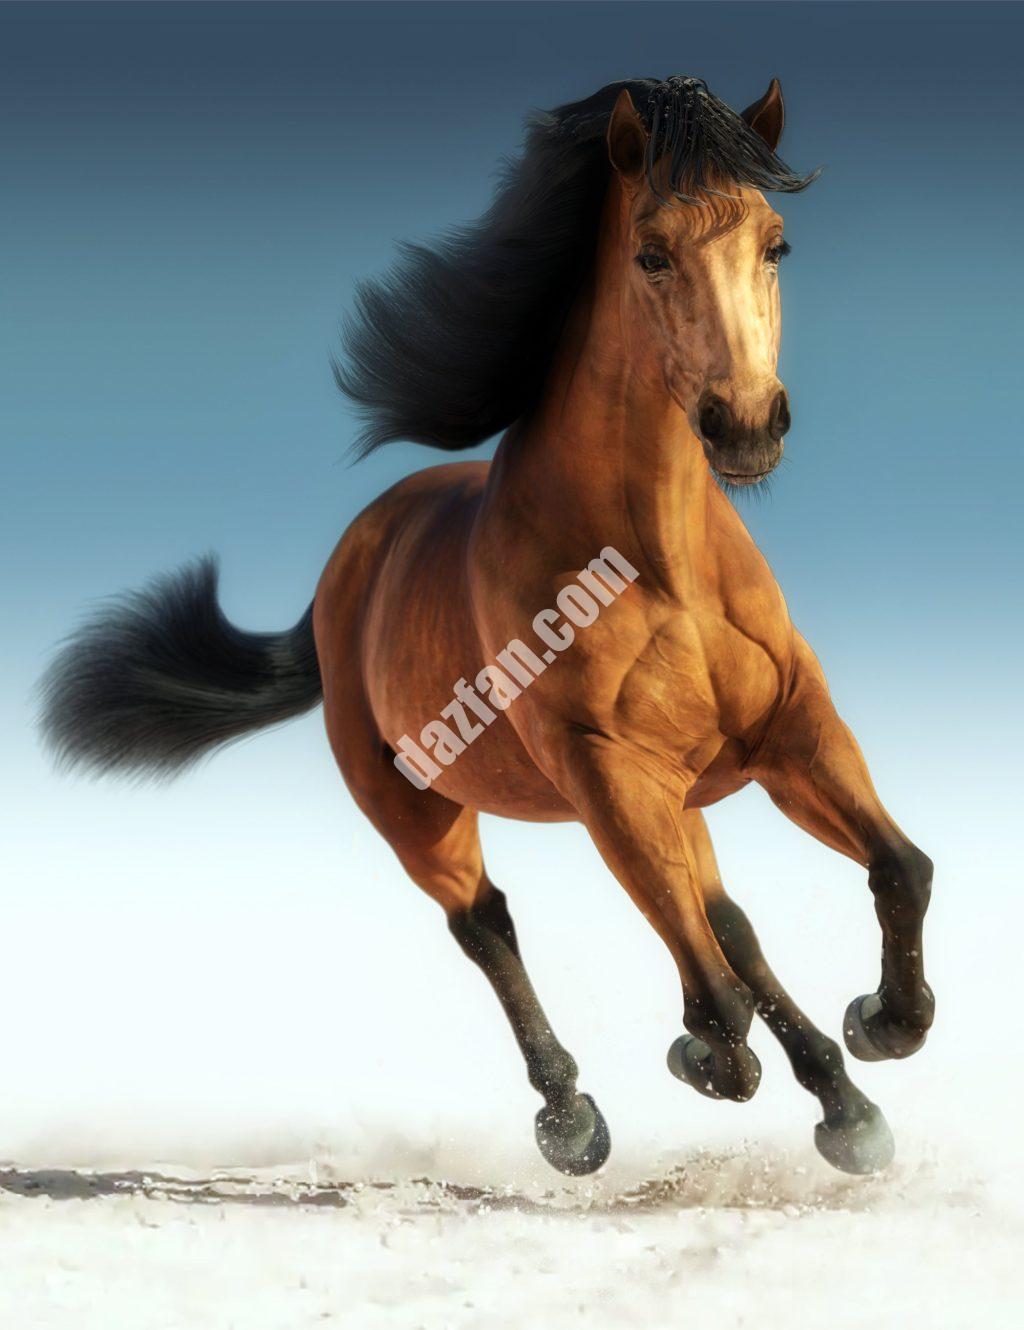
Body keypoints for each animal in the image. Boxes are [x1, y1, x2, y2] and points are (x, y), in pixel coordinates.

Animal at [40, 75, 934, 1178]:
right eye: (651, 253)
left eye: (776, 243)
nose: (745, 424)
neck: (659, 565)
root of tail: (344, 572)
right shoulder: (604, 773)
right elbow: (716, 1002)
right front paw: (706, 1058)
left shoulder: (792, 730)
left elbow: (898, 869)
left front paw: (881, 1025)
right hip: (422, 812)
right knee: (490, 924)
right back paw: (572, 1120)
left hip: (679, 796)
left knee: (726, 922)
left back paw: (844, 1106)